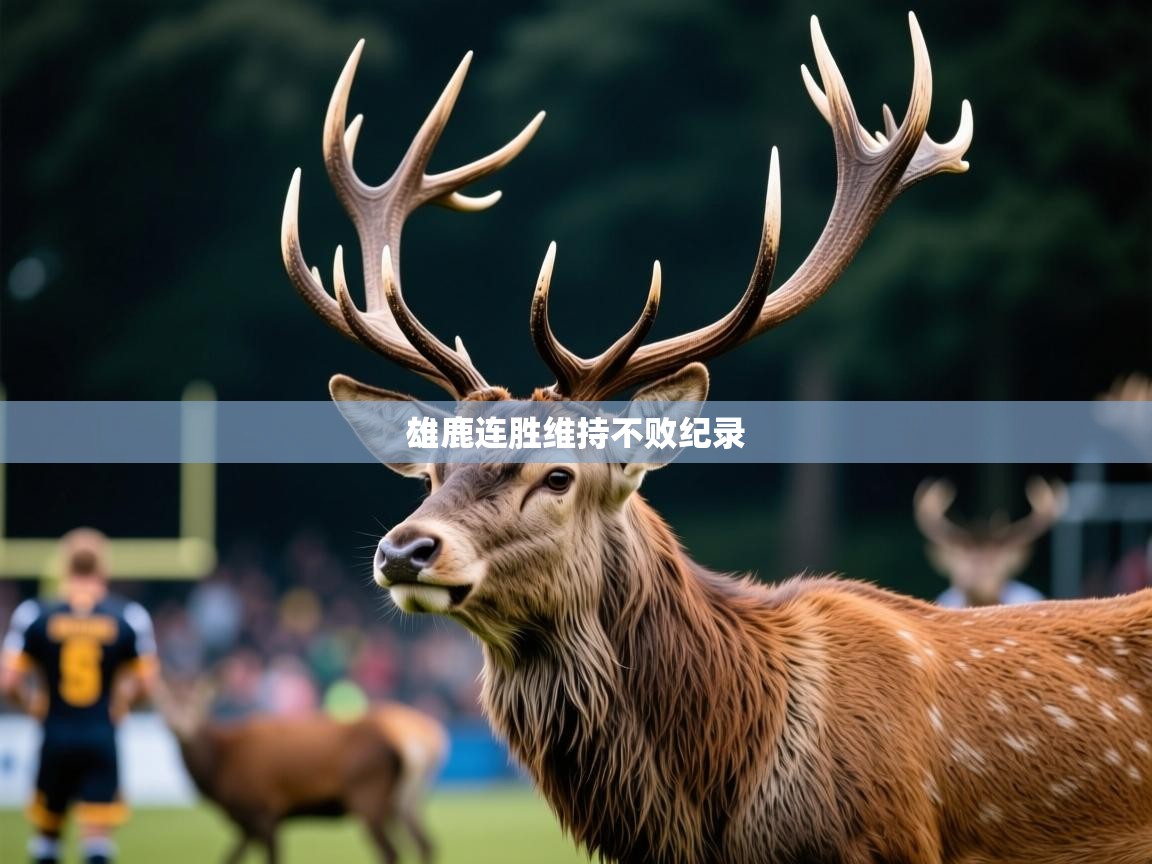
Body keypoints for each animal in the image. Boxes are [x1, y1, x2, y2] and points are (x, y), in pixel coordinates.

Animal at [156, 680, 446, 864]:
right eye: (164, 704)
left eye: (195, 704)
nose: (178, 725)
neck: (218, 768)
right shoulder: (247, 821)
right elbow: (229, 858)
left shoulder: (263, 811)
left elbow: (271, 858)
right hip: (405, 800)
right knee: (424, 843)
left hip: (368, 796)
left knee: (391, 852)